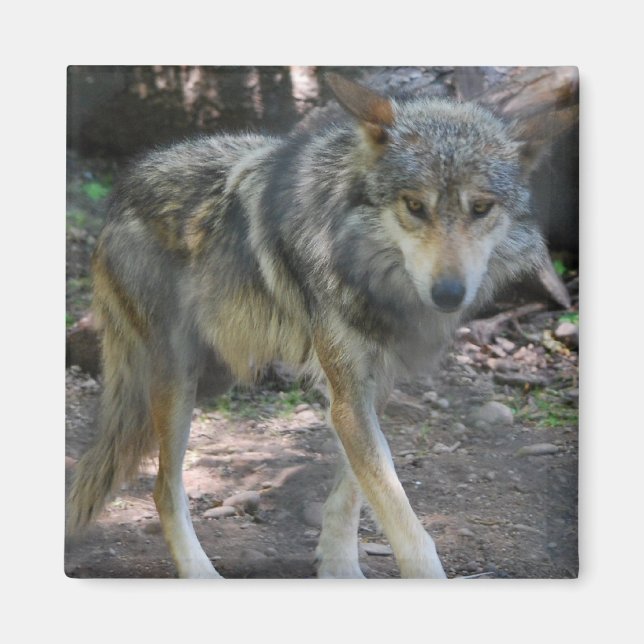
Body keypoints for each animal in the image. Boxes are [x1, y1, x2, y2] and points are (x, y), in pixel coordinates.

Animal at [67, 72, 552, 578]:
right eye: (415, 206)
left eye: (481, 208)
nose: (449, 294)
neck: (370, 272)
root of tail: (122, 191)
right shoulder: (349, 395)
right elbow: (401, 516)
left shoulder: (368, 389)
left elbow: (353, 490)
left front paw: (339, 567)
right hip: (178, 384)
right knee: (163, 487)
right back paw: (199, 571)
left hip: (213, 378)